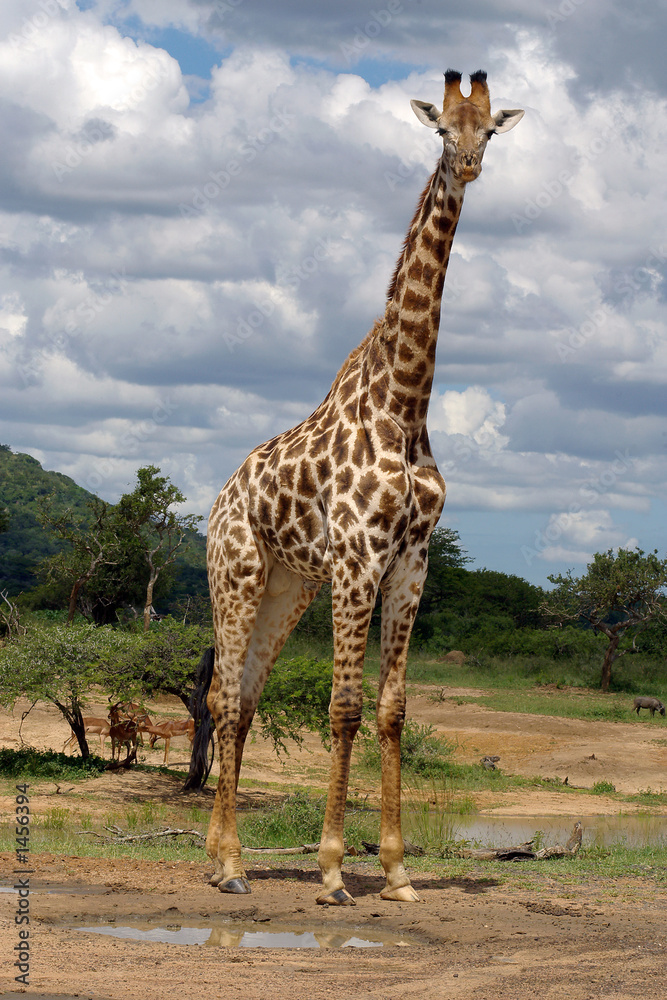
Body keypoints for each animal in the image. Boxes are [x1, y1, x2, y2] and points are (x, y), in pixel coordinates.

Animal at [205, 70, 523, 905]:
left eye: (490, 130)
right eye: (442, 129)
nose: (469, 167)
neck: (405, 400)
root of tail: (218, 499)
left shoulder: (412, 559)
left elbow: (392, 709)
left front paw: (398, 870)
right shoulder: (358, 555)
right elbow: (343, 706)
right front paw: (331, 871)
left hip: (288, 586)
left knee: (245, 701)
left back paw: (223, 860)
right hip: (237, 573)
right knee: (223, 697)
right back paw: (228, 867)